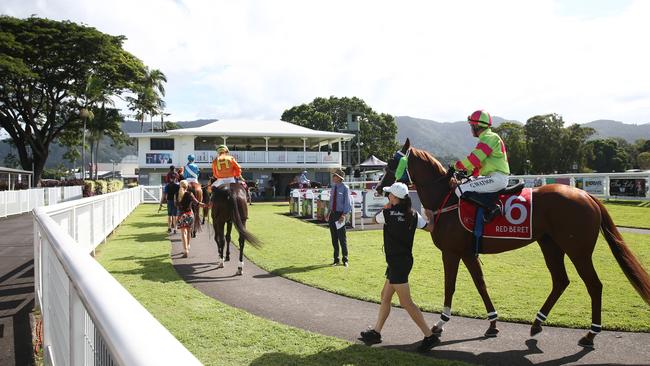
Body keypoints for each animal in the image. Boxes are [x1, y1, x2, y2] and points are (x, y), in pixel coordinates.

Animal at [374, 139, 648, 348]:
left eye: (392, 163)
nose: (378, 188)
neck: (447, 199)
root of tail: (587, 196)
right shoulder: (468, 252)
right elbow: (480, 284)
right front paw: (493, 323)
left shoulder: (452, 252)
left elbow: (450, 286)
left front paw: (440, 323)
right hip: (550, 245)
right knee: (561, 281)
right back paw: (537, 324)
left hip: (578, 250)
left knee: (594, 285)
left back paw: (590, 334)